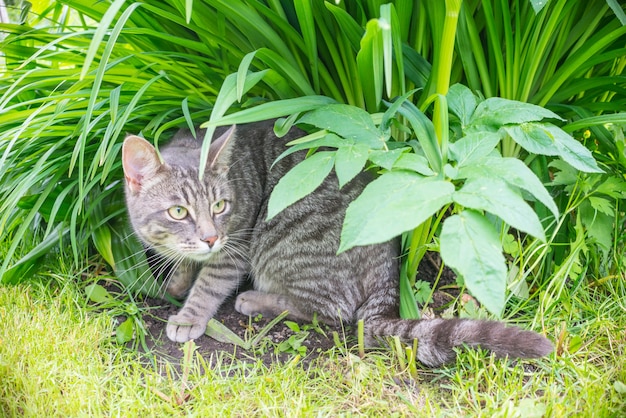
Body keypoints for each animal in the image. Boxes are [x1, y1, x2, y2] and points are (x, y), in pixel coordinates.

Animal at [122, 121, 552, 366]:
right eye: (179, 212)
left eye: (220, 206)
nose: (211, 235)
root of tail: (388, 265)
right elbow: (184, 262)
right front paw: (177, 279)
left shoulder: (236, 243)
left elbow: (210, 284)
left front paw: (189, 316)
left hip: (281, 241)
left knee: (332, 311)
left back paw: (256, 300)